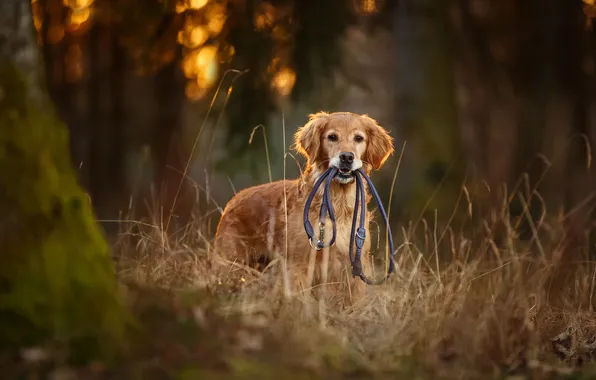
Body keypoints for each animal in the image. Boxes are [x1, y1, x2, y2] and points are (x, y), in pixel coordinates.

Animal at [212, 110, 394, 306]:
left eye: (359, 138)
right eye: (332, 137)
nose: (346, 157)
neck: (337, 204)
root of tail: (233, 200)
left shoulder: (354, 265)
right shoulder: (299, 264)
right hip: (231, 264)